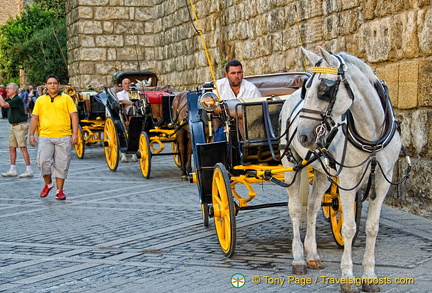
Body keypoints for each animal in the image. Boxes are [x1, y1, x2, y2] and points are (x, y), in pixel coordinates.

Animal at [278, 46, 406, 290]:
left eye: (324, 90)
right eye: (306, 89)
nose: (303, 135)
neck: (371, 137)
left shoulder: (382, 182)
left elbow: (372, 228)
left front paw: (369, 276)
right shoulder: (347, 181)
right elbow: (348, 227)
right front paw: (347, 277)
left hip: (322, 172)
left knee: (312, 207)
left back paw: (312, 255)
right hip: (291, 166)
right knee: (296, 209)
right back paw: (299, 259)